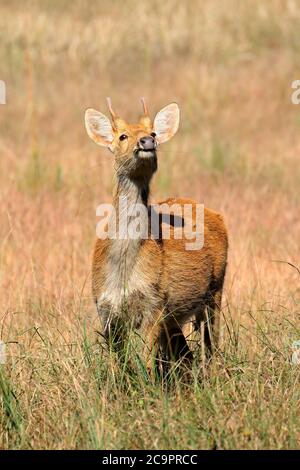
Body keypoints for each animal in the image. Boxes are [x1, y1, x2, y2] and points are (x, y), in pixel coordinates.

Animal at [84, 98, 227, 374]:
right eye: (122, 136)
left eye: (153, 133)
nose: (147, 142)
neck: (123, 270)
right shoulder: (105, 310)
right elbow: (117, 366)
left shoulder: (154, 304)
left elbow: (146, 364)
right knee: (186, 354)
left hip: (215, 290)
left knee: (210, 347)